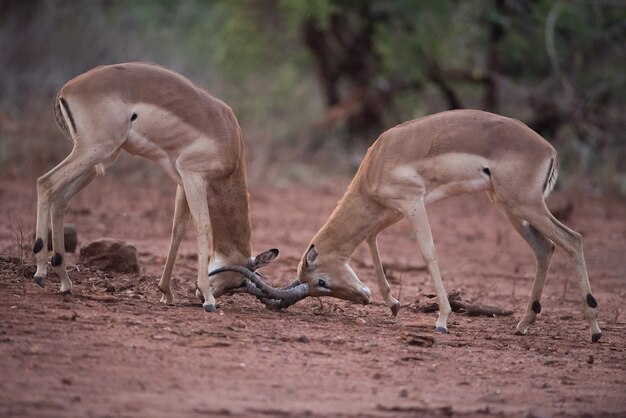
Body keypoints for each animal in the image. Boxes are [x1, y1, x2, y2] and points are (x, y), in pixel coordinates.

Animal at [32, 62, 280, 310]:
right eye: (239, 282)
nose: (201, 296)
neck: (228, 138)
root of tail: (66, 89)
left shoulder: (182, 181)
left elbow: (178, 229)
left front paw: (166, 292)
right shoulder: (193, 175)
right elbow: (203, 226)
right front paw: (209, 300)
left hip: (99, 161)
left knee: (60, 199)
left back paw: (65, 282)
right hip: (95, 150)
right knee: (45, 182)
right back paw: (40, 273)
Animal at [214, 109, 600, 342]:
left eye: (321, 281)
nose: (363, 298)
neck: (377, 159)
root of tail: (548, 150)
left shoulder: (413, 203)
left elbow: (427, 252)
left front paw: (442, 319)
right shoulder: (392, 210)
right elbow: (371, 239)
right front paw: (393, 303)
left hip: (524, 205)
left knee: (573, 239)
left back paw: (594, 328)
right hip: (506, 205)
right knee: (545, 248)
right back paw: (523, 324)